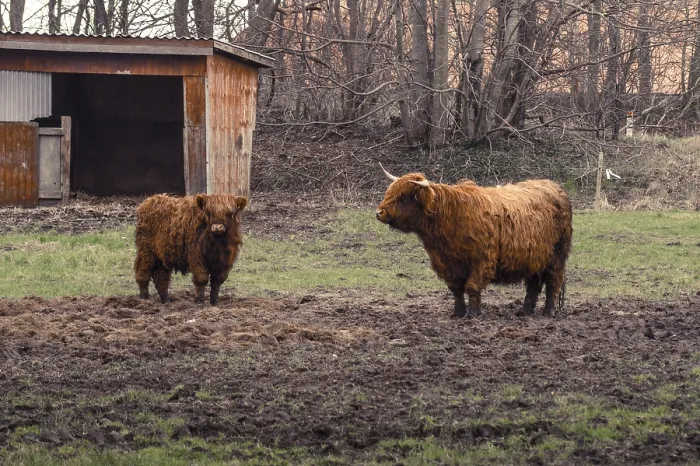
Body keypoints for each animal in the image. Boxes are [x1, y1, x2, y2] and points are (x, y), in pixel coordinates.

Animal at [375, 164, 573, 318]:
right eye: (389, 192)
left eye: (404, 197)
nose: (379, 212)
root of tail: (554, 187)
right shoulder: (448, 263)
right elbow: (456, 289)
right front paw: (458, 312)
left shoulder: (482, 259)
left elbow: (471, 286)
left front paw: (472, 314)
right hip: (533, 258)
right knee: (533, 285)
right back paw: (524, 311)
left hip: (556, 257)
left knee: (553, 282)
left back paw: (548, 312)